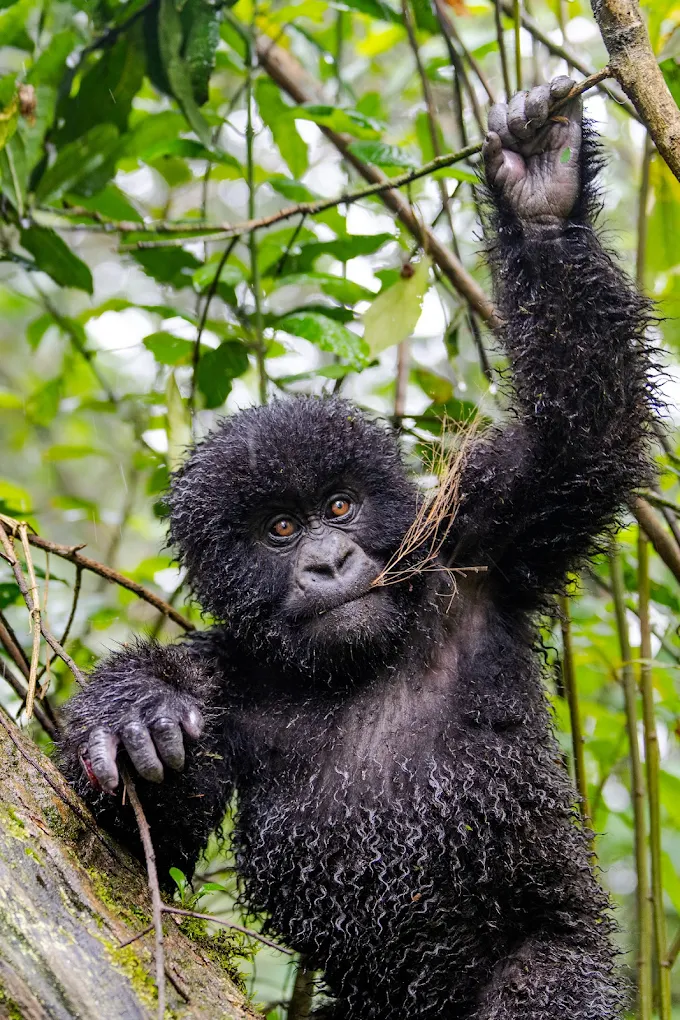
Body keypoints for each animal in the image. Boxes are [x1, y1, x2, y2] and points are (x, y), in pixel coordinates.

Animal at [60, 77, 656, 1019]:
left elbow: (583, 431)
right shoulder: (223, 680)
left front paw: (540, 194)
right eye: (280, 529)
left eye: (341, 507)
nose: (329, 563)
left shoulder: (485, 541)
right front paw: (132, 709)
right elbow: (126, 854)